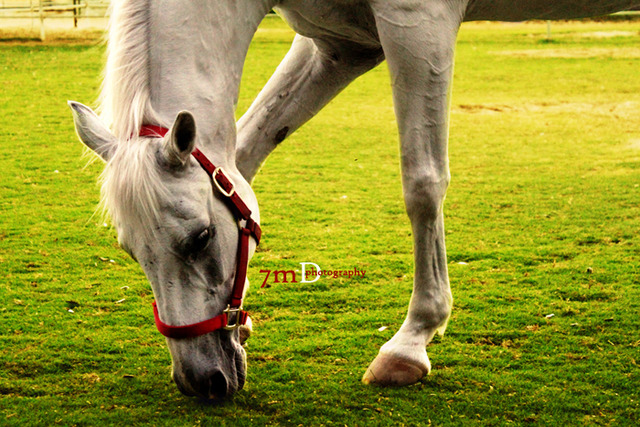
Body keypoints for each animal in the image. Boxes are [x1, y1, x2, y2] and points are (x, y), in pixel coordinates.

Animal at [69, 0, 640, 400]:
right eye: (131, 252)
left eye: (201, 237)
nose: (200, 380)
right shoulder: (339, 45)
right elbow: (248, 152)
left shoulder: (418, 24)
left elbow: (422, 184)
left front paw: (411, 342)